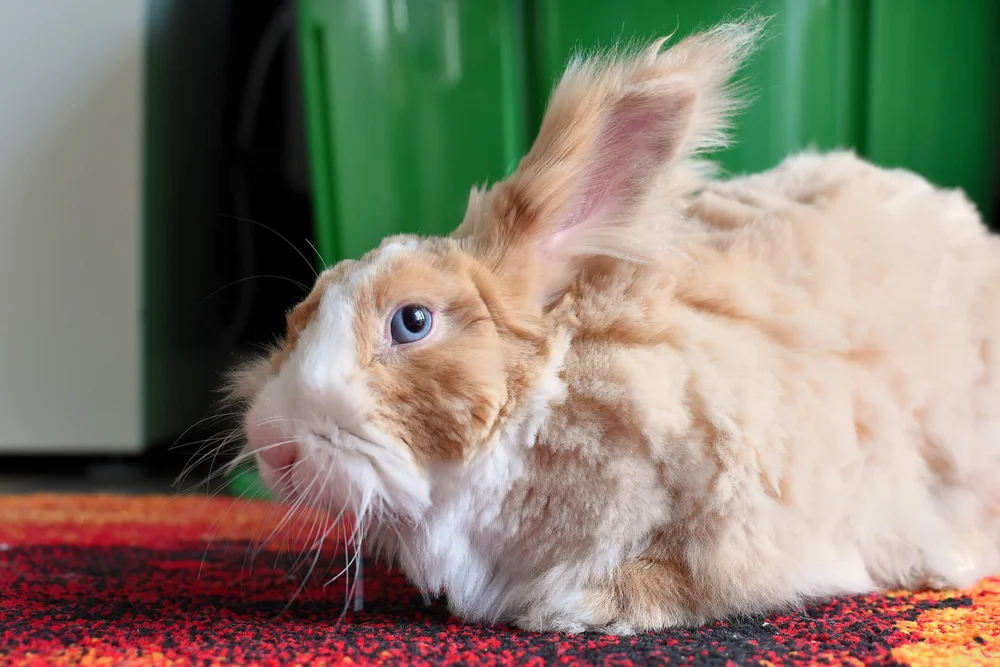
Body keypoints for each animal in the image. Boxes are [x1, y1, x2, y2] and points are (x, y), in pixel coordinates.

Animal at [231, 17, 1000, 634]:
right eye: (299, 314)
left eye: (412, 320)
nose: (272, 445)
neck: (557, 381)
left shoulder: (754, 522)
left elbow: (690, 576)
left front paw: (577, 607)